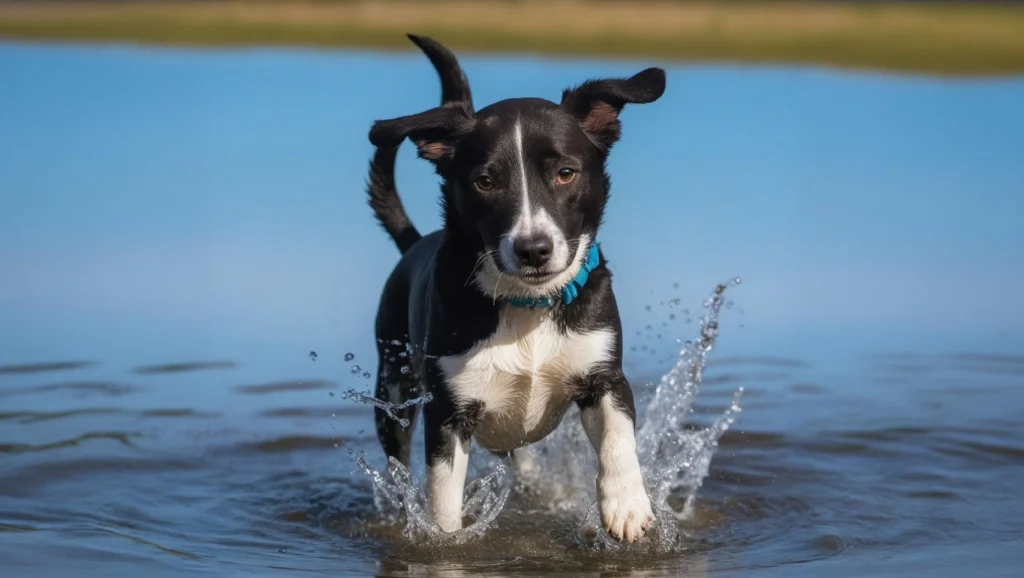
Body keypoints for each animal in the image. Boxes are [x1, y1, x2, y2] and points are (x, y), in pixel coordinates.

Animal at [364, 35, 667, 541]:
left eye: (565, 172)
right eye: (485, 181)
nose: (533, 249)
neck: (529, 305)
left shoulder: (603, 374)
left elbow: (618, 438)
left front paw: (626, 505)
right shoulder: (448, 412)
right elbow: (443, 496)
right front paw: (443, 539)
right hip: (393, 385)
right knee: (396, 454)